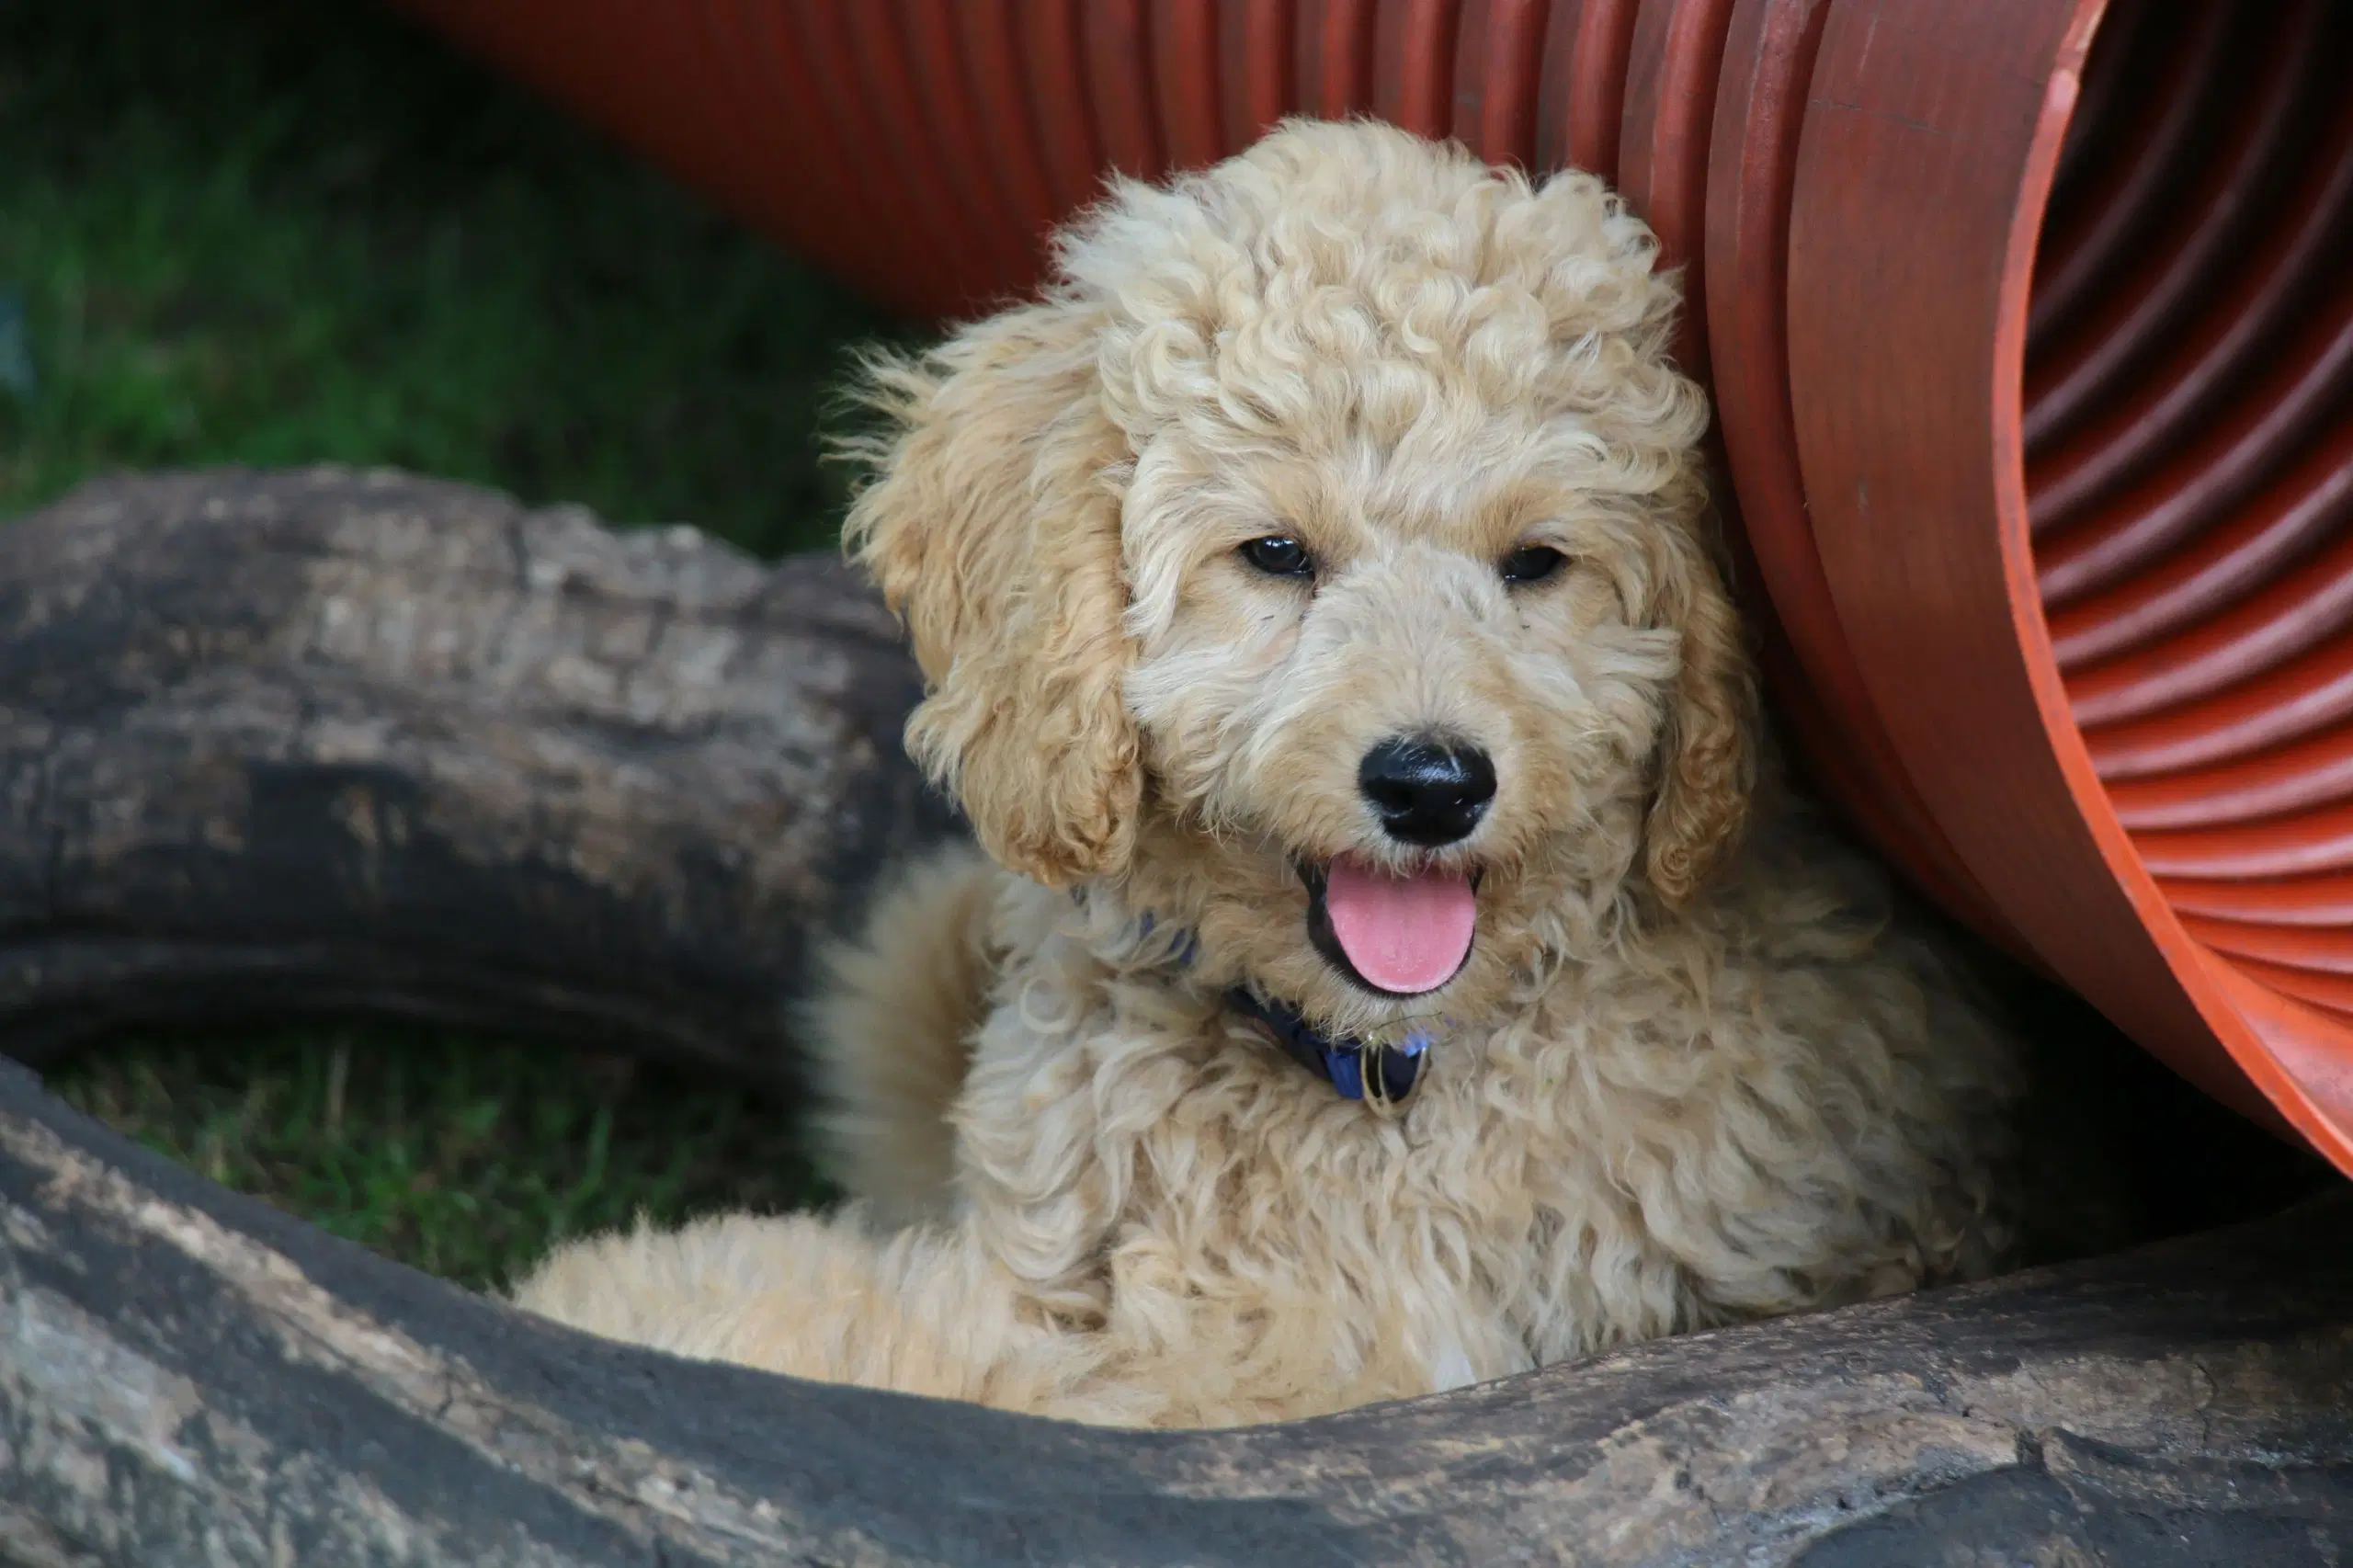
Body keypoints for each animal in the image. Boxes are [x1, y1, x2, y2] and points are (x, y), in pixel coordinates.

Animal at [519, 116, 2023, 1422]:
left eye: (1537, 561)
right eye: (1277, 554)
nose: (1433, 784)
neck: (1375, 1064)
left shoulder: (1294, 1361)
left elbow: (966, 1367)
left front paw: (631, 1304)